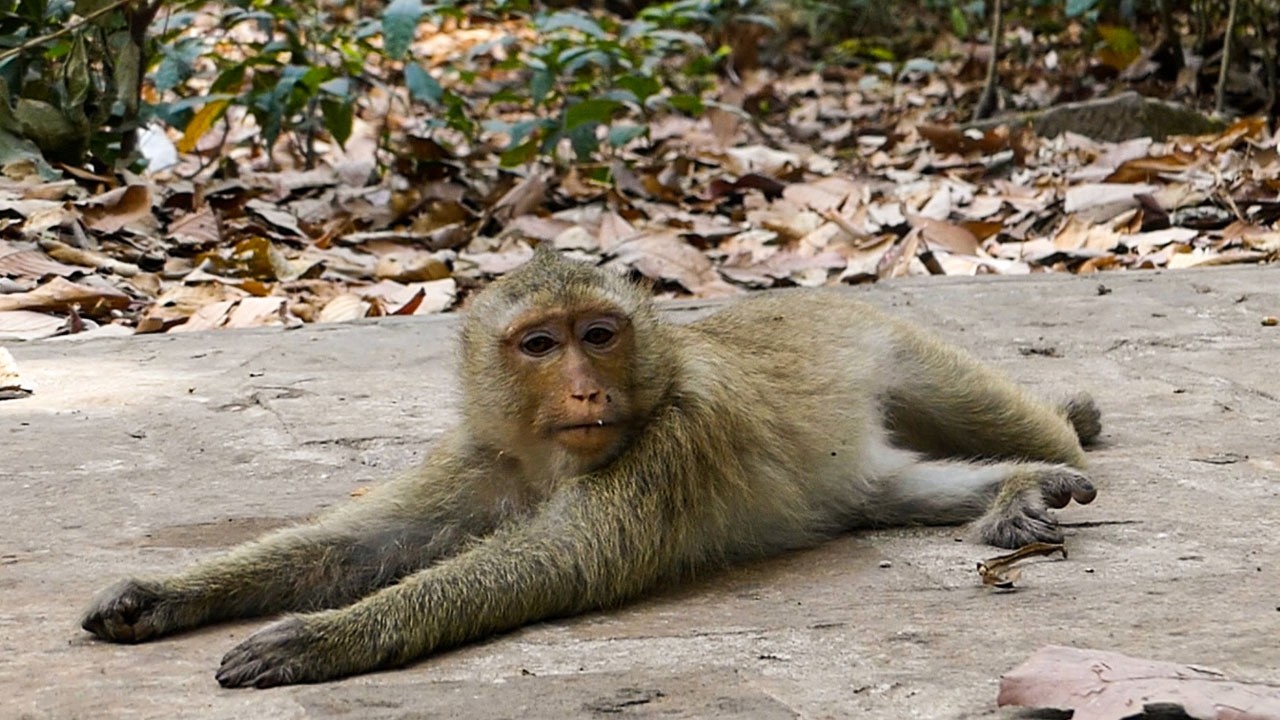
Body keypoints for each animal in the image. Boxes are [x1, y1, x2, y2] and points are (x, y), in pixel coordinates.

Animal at [81, 247, 1101, 689]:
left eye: (599, 336)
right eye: (540, 344)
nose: (583, 389)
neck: (545, 456)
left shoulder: (676, 433)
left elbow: (566, 559)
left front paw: (326, 639)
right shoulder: (480, 455)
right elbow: (357, 545)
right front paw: (161, 595)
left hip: (889, 341)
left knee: (1042, 434)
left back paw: (1065, 435)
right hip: (865, 462)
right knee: (889, 490)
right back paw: (1017, 491)